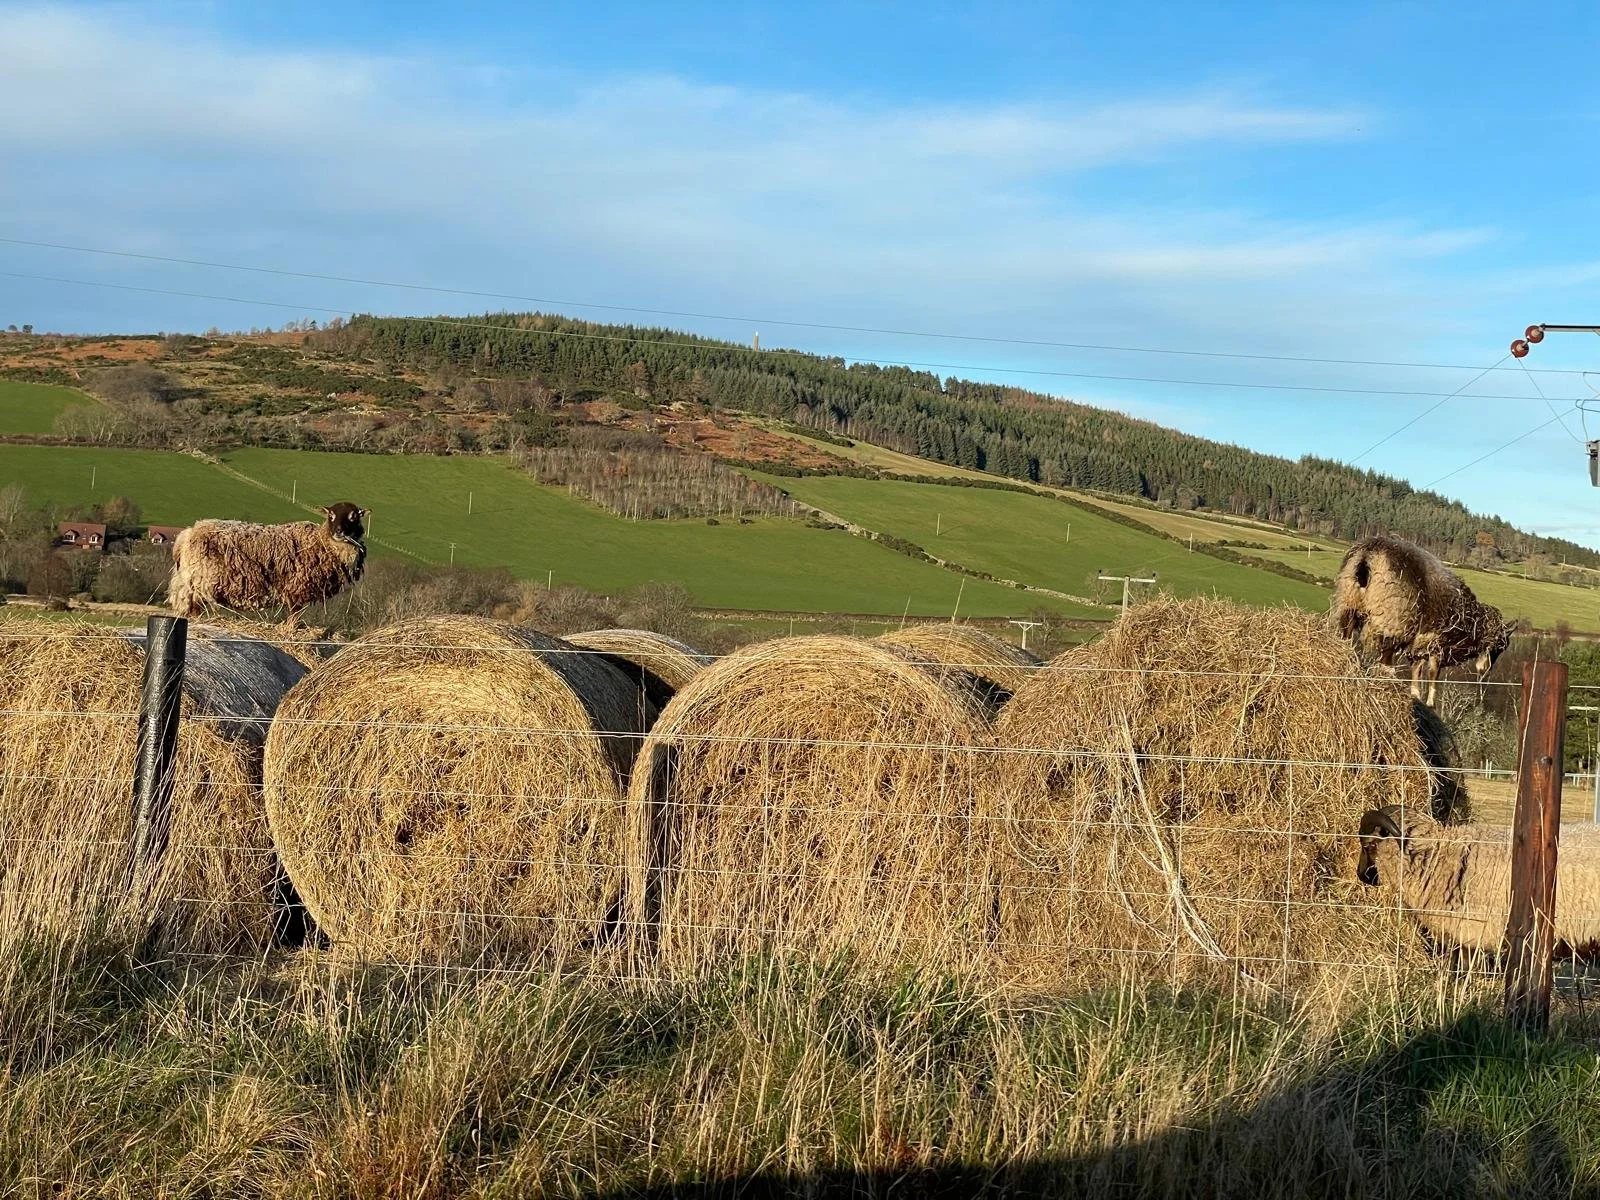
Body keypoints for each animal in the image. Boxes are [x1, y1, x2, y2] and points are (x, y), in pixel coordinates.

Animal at [169, 502, 368, 623]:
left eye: (353, 517)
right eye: (331, 516)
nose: (339, 532)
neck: (320, 541)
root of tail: (188, 533)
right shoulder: (296, 588)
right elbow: (294, 616)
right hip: (195, 581)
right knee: (188, 608)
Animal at [1333, 535, 1511, 706]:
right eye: (1498, 646)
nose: (1485, 671)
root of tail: (1367, 555)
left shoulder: (1419, 644)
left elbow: (1417, 670)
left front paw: (1416, 694)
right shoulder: (1435, 644)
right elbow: (1433, 674)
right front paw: (1431, 703)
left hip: (1349, 601)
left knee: (1346, 635)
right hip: (1394, 619)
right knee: (1386, 656)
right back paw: (1388, 678)